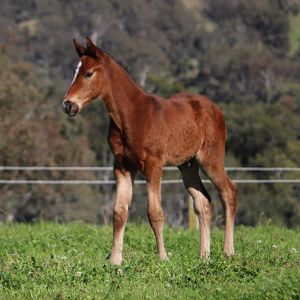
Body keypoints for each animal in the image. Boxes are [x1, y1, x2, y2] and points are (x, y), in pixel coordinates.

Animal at [62, 37, 238, 264]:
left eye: (89, 73)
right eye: (75, 71)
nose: (68, 105)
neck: (130, 116)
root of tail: (214, 108)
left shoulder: (153, 165)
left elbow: (155, 213)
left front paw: (163, 258)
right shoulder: (122, 166)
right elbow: (119, 212)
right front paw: (114, 261)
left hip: (211, 159)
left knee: (229, 192)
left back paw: (228, 252)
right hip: (187, 165)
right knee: (203, 201)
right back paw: (204, 257)